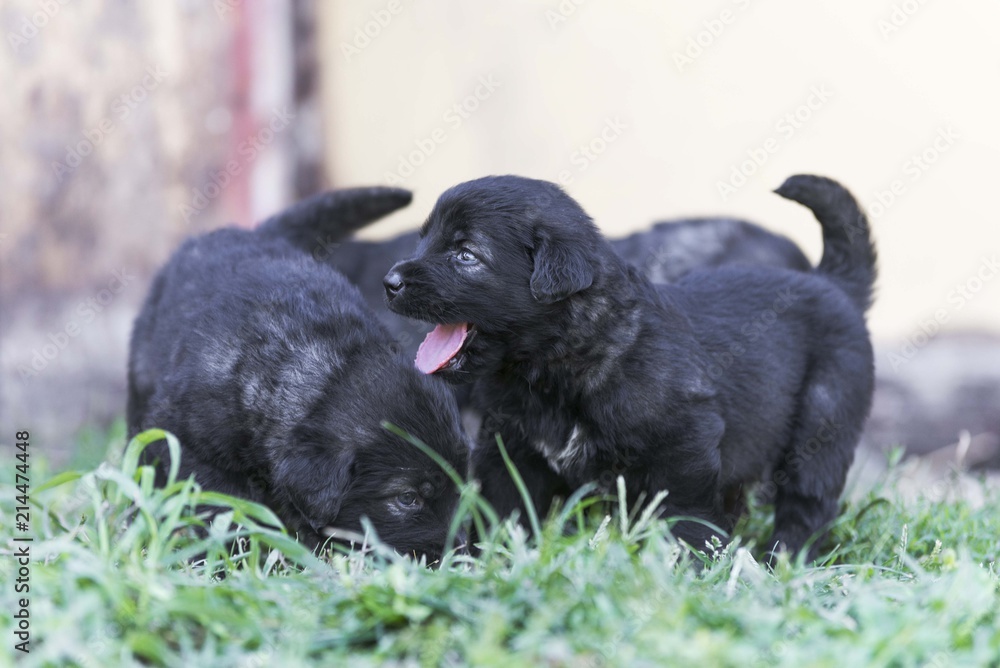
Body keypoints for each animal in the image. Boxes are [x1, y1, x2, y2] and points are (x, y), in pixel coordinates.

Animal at [382, 174, 876, 560]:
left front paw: (688, 572)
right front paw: (494, 562)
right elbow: (505, 511)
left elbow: (687, 516)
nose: (389, 282)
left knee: (807, 504)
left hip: (822, 423)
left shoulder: (686, 445)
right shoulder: (510, 448)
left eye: (466, 254)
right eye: (424, 239)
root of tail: (830, 282)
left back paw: (784, 562)